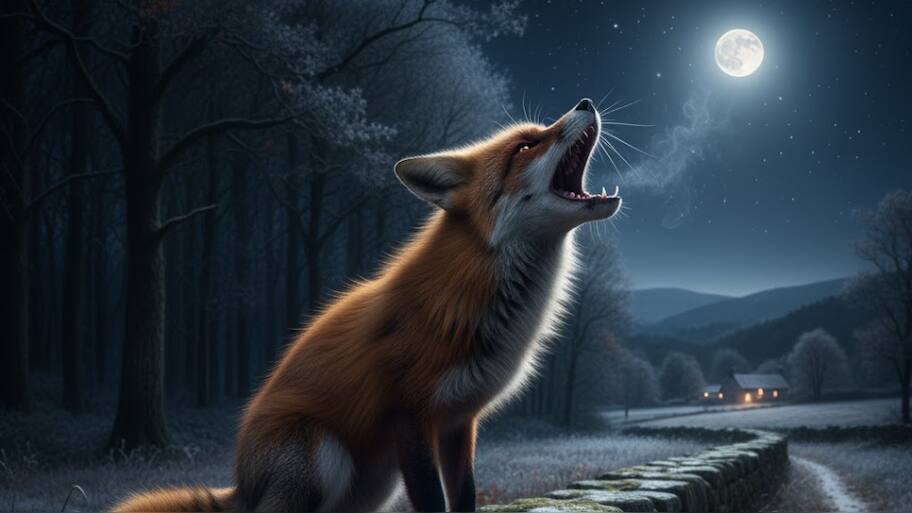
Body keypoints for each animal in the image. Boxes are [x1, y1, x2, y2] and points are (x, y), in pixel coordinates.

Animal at [112, 98, 621, 512]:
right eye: (525, 146)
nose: (585, 102)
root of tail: (240, 482)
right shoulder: (409, 414)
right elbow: (433, 501)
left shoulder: (461, 421)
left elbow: (465, 496)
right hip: (324, 457)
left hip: (375, 486)